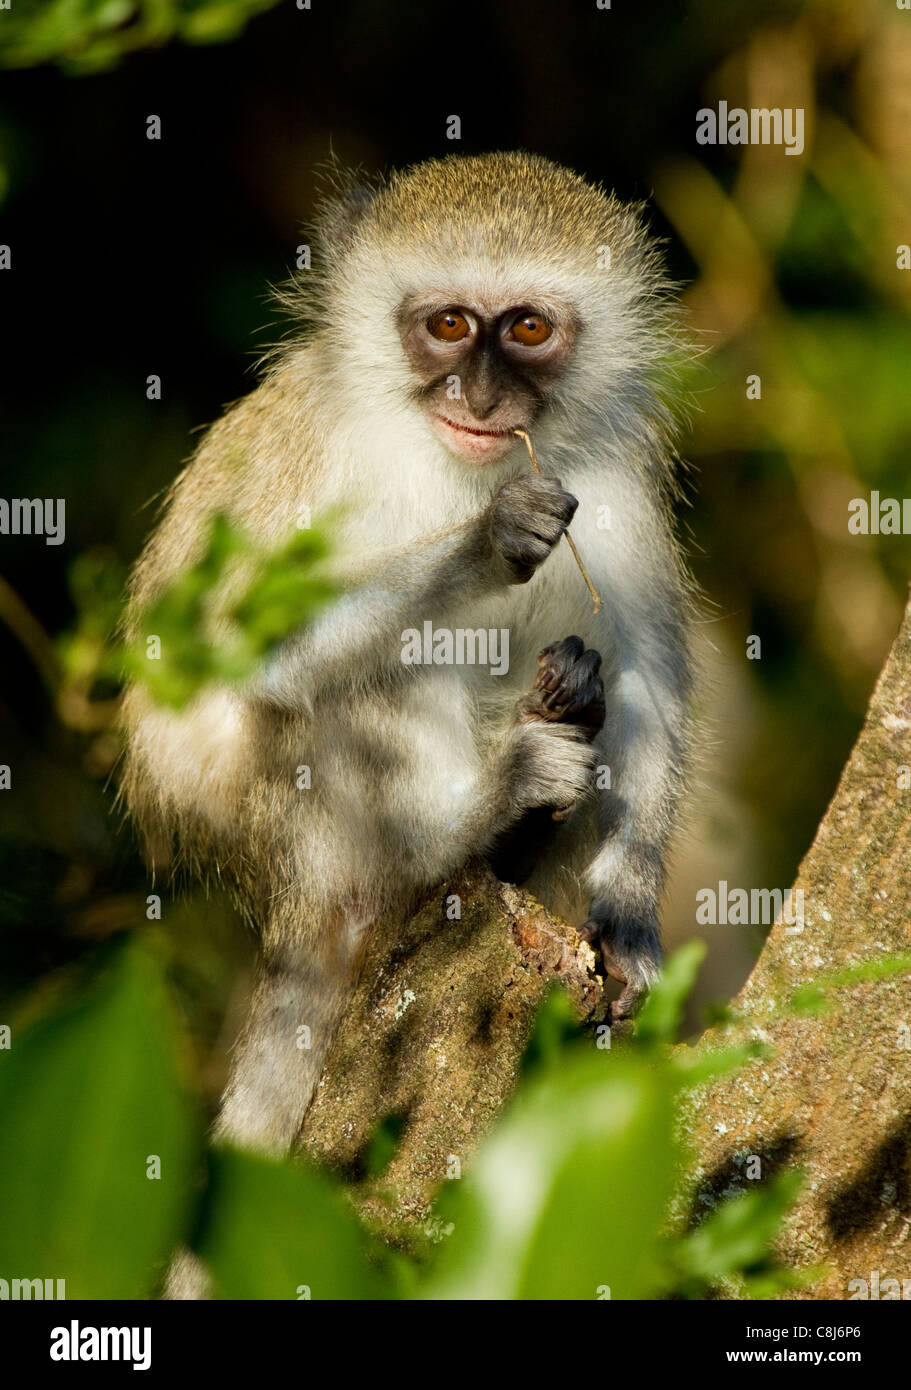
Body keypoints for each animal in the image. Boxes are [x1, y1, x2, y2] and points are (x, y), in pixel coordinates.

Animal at [119, 152, 692, 1173]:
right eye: (450, 326)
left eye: (528, 328)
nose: (482, 400)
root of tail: (288, 895)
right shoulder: (320, 454)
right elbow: (245, 653)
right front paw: (487, 541)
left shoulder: (613, 474)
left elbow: (645, 672)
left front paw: (626, 915)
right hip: (309, 827)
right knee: (368, 676)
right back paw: (469, 824)